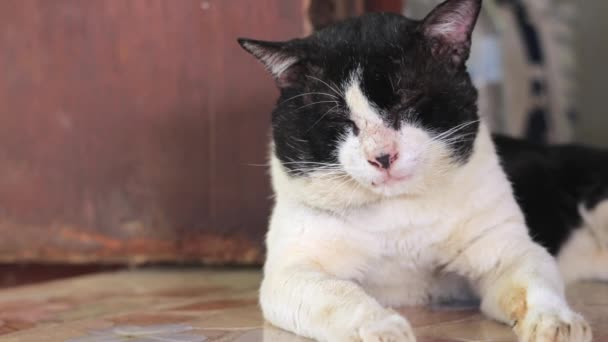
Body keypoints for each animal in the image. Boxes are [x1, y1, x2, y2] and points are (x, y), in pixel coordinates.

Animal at [238, 1, 604, 340]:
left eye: (408, 101)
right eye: (338, 118)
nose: (382, 156)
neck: (399, 214)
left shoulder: (508, 251)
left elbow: (533, 284)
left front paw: (557, 322)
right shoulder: (290, 272)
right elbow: (338, 295)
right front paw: (381, 326)